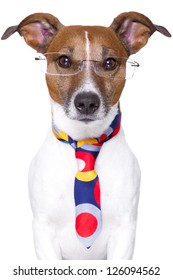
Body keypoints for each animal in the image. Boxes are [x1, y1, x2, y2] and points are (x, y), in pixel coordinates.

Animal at [1, 11, 171, 260]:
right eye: (64, 61)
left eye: (110, 62)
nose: (87, 102)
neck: (85, 142)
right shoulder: (43, 231)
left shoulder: (124, 232)